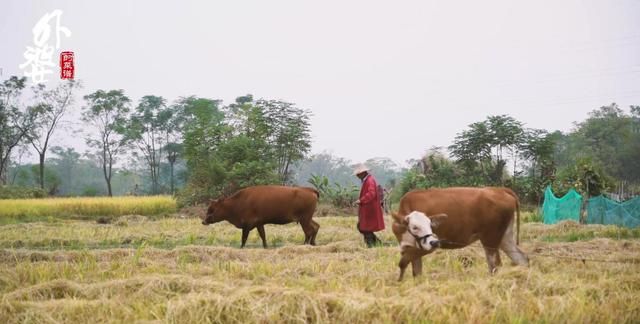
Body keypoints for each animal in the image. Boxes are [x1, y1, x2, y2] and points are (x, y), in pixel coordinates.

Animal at [392, 187, 528, 280]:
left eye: (430, 225)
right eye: (415, 227)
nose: (434, 242)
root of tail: (499, 189)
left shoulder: (425, 247)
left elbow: (403, 262)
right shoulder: (410, 246)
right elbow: (416, 272)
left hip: (490, 238)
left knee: (496, 264)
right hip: (505, 237)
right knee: (522, 259)